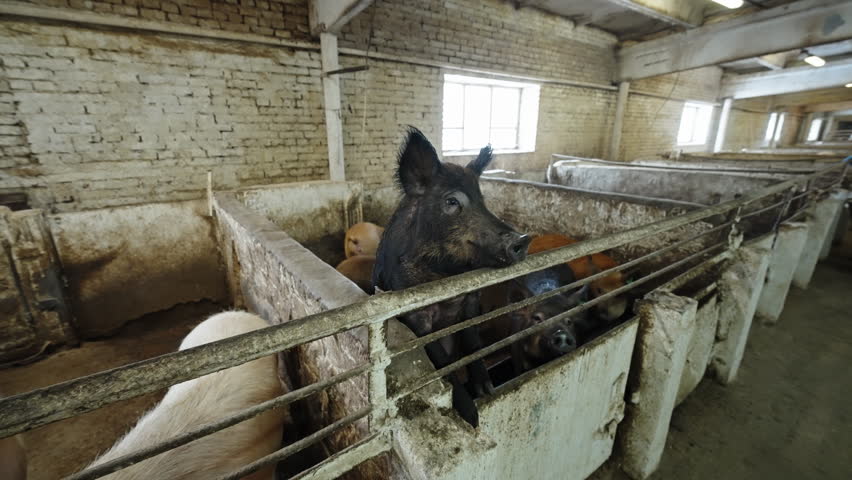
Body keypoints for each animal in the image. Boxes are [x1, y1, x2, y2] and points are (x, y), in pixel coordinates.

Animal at [373, 127, 530, 427]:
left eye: (483, 201)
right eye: (452, 201)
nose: (523, 239)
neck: (445, 275)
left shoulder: (471, 300)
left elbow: (472, 342)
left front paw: (487, 390)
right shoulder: (415, 315)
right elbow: (441, 360)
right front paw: (472, 416)